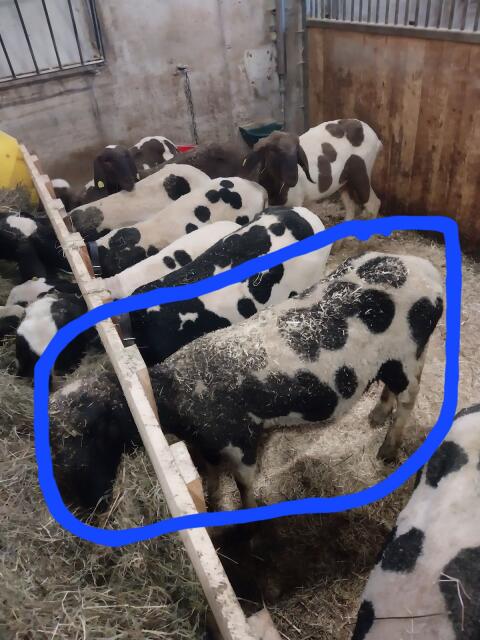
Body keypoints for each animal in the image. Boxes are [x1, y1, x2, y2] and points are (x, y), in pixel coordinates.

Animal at [50, 251, 443, 510]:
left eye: (89, 432)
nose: (84, 504)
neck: (177, 393)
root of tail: (427, 270)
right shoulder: (207, 447)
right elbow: (210, 478)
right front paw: (212, 503)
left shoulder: (239, 441)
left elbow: (244, 484)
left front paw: (248, 516)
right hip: (402, 357)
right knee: (396, 387)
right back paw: (376, 415)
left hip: (405, 354)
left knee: (409, 398)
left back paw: (388, 450)